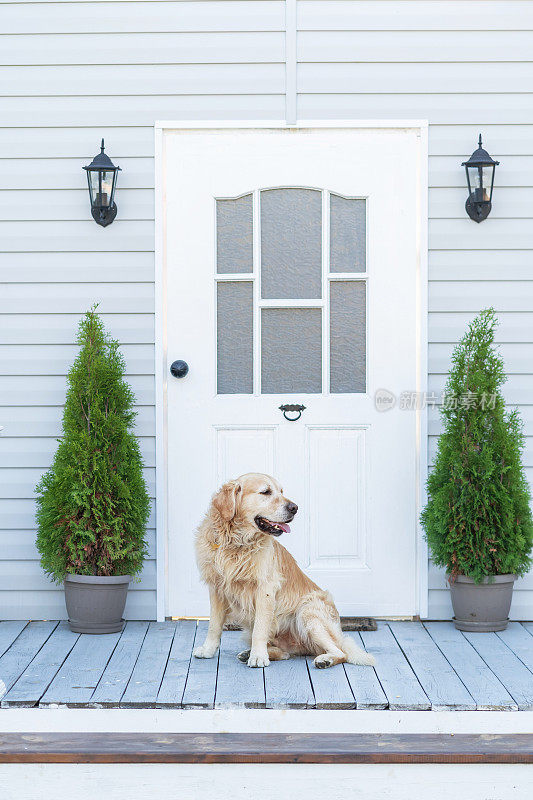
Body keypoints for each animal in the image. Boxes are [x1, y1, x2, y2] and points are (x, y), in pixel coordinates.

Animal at [194, 476, 374, 668]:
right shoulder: (216, 588)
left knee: (341, 653)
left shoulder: (265, 589)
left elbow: (260, 628)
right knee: (286, 653)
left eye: (281, 491)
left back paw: (325, 659)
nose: (295, 507)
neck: (236, 542)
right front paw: (207, 650)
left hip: (308, 611)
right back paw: (251, 653)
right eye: (266, 492)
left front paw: (258, 657)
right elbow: (213, 625)